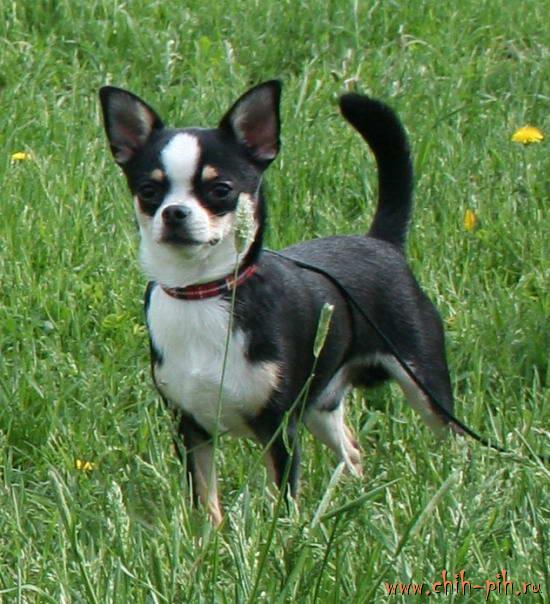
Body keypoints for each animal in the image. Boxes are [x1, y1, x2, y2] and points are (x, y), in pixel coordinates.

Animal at [99, 81, 454, 525]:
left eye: (221, 190)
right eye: (149, 191)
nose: (174, 212)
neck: (204, 291)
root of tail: (380, 241)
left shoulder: (278, 428)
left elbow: (284, 495)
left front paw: (284, 533)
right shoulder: (191, 428)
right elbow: (205, 500)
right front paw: (207, 540)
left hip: (424, 384)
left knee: (452, 439)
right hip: (321, 404)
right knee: (352, 450)